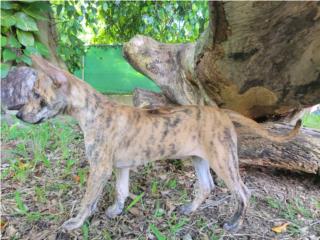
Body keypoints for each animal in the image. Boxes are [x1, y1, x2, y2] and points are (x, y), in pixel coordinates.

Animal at [15, 55, 300, 232]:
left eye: (37, 94)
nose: (18, 115)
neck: (92, 111)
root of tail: (222, 113)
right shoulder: (120, 167)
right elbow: (121, 191)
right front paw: (116, 211)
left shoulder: (99, 168)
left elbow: (88, 200)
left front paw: (75, 223)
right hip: (200, 159)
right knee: (206, 186)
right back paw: (189, 209)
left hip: (224, 160)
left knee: (243, 192)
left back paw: (234, 224)